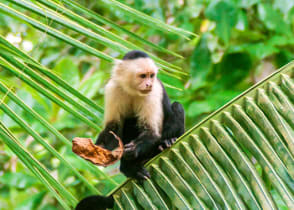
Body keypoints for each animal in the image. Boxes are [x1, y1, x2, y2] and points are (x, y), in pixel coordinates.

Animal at [77, 50, 185, 210]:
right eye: (142, 76)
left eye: (151, 75)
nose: (148, 84)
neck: (132, 90)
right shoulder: (112, 89)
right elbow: (113, 128)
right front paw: (97, 150)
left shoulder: (153, 92)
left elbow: (151, 131)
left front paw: (133, 149)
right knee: (128, 121)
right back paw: (129, 168)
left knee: (177, 107)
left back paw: (166, 143)